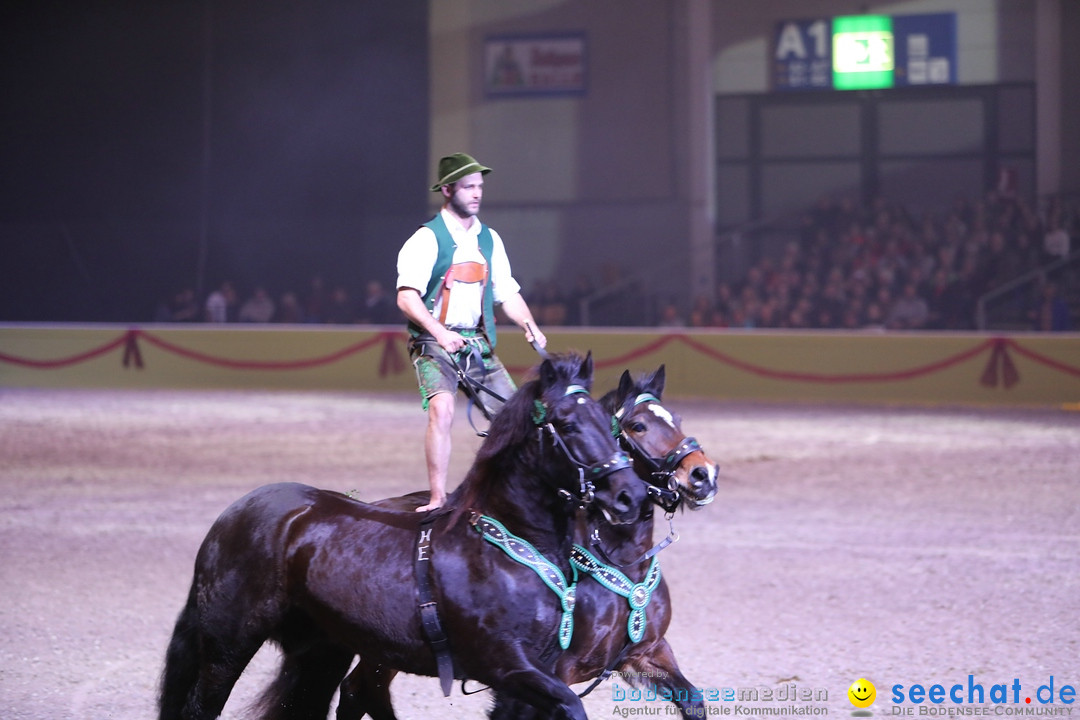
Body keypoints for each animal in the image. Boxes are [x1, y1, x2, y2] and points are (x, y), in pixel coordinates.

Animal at [157, 354, 648, 720]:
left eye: (610, 422)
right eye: (566, 423)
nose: (631, 495)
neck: (505, 547)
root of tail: (233, 513)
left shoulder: (536, 673)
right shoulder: (508, 667)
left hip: (321, 652)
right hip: (227, 647)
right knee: (200, 708)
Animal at [336, 367, 721, 720]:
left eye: (677, 419)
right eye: (638, 426)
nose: (703, 474)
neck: (622, 563)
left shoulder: (647, 654)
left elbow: (693, 701)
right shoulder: (546, 673)